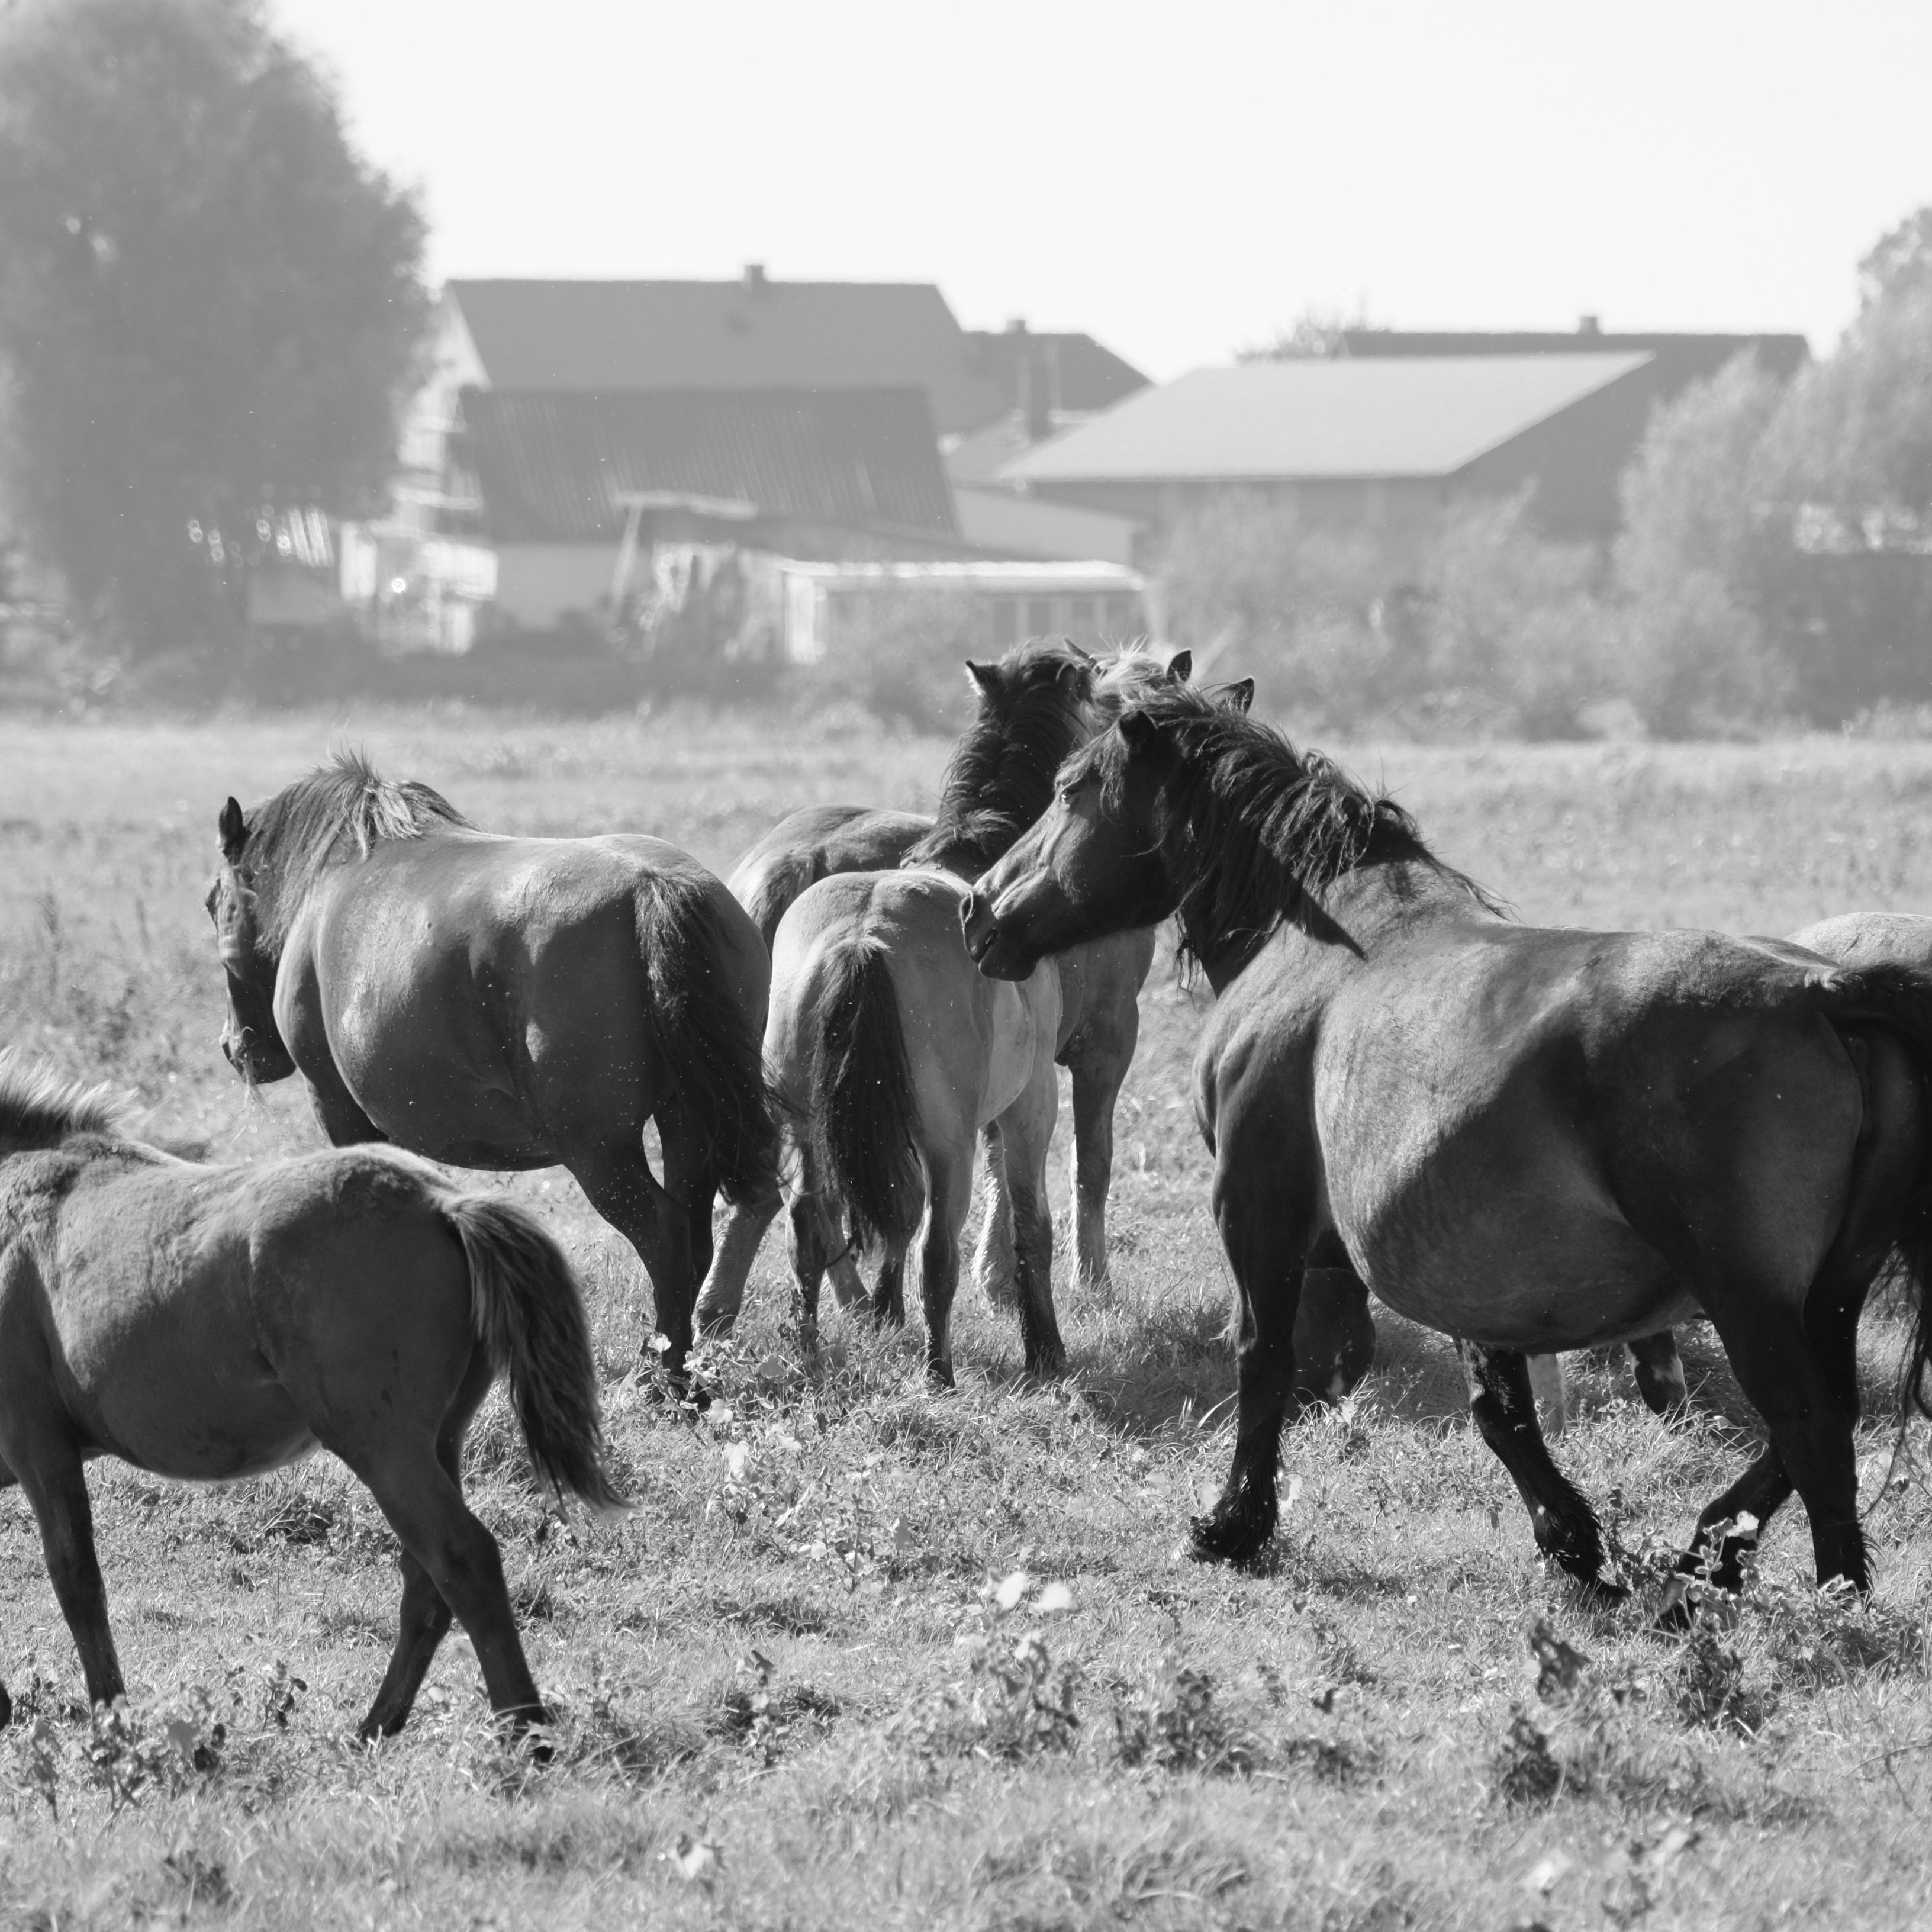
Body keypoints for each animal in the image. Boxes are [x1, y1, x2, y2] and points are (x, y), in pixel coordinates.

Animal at [0, 1060, 623, 1741]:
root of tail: (442, 1202)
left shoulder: (39, 1449)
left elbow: (76, 1580)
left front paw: (111, 1718)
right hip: (438, 1443)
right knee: (427, 1582)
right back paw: (378, 1725)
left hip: (382, 1448)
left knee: (464, 1560)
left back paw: (525, 1730)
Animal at [205, 752, 775, 1379]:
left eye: (213, 902)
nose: (235, 1046)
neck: (336, 873)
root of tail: (653, 885)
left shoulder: (337, 1108)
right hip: (686, 1122)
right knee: (696, 1232)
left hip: (599, 1149)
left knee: (666, 1235)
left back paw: (663, 1378)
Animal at [710, 644, 1233, 1314]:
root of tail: (803, 859)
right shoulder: (1103, 1045)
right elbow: (1084, 1164)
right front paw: (1080, 1281)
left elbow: (999, 1165)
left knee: (779, 1198)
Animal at [963, 684, 1932, 1606]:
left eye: (1069, 790)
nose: (978, 910)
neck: (1326, 939)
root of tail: (1824, 991)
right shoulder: (1468, 1268)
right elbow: (1497, 1412)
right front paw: (1575, 1547)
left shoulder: (1257, 1215)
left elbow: (1266, 1361)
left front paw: (1232, 1527)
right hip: (1830, 1293)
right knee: (1827, 1420)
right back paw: (1702, 1559)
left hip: (1750, 1299)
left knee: (1809, 1426)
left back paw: (1824, 1599)